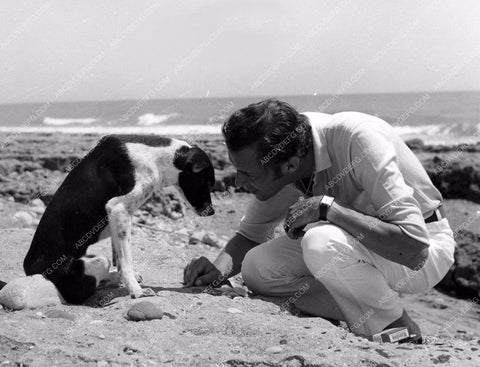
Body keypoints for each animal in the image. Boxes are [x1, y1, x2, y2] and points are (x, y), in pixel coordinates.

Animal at [23, 135, 215, 304]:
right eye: (206, 183)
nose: (212, 212)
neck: (159, 157)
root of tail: (31, 271)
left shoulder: (116, 218)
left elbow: (120, 258)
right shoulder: (118, 209)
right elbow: (126, 261)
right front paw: (136, 290)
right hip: (92, 262)